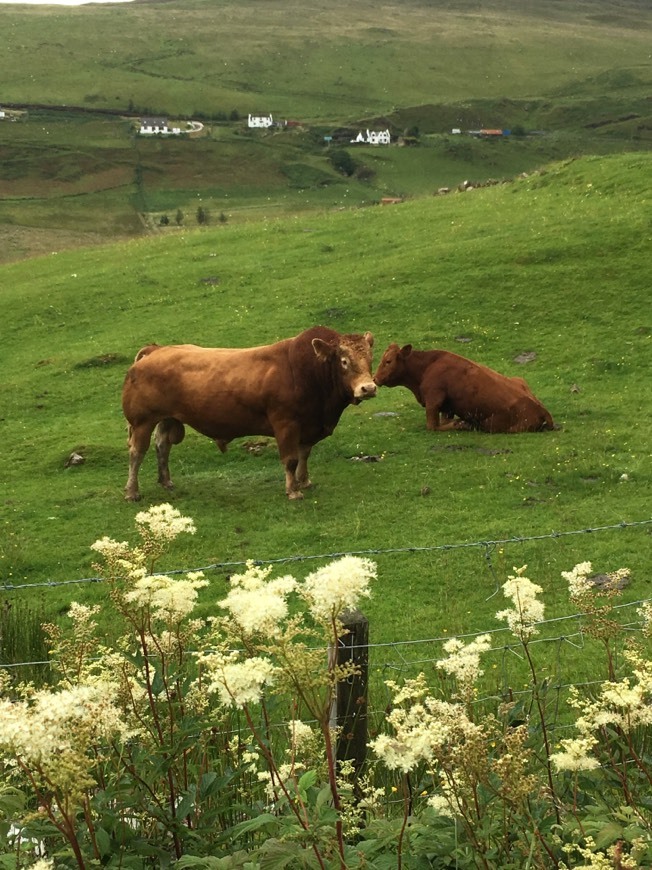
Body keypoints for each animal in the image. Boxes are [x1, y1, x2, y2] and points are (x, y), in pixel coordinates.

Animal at [122, 330, 376, 500]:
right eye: (344, 361)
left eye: (370, 360)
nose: (368, 388)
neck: (307, 372)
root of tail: (155, 349)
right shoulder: (286, 425)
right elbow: (291, 459)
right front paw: (293, 491)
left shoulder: (308, 425)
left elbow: (304, 455)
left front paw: (304, 481)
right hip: (142, 422)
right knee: (137, 452)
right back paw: (132, 491)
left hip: (166, 418)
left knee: (162, 446)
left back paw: (166, 481)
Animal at [374, 342, 552, 434]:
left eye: (388, 361)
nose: (375, 379)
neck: (426, 367)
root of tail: (542, 410)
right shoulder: (447, 407)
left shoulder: (433, 401)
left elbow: (434, 426)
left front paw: (460, 424)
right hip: (519, 379)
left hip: (494, 426)